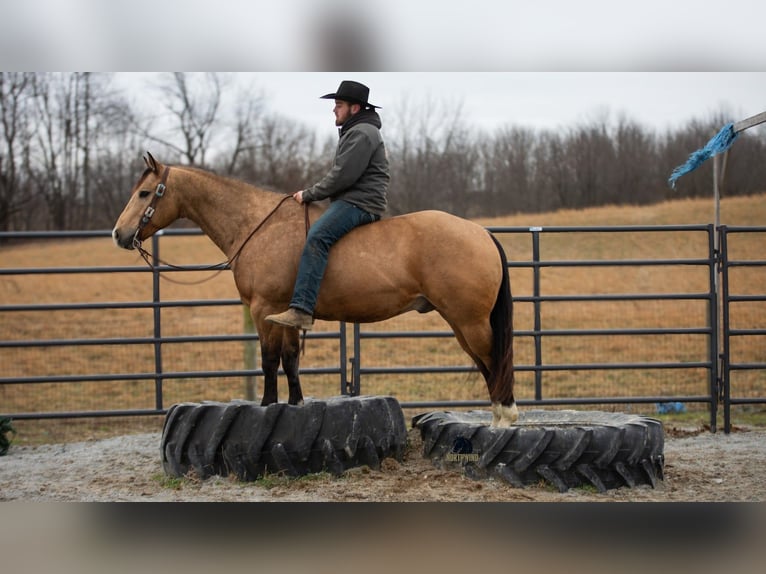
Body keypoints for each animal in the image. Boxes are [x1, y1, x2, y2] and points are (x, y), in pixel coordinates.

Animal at [112, 153, 518, 426]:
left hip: (470, 322)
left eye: (145, 193)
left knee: (493, 360)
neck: (259, 225)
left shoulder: (264, 310)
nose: (118, 234)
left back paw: (504, 420)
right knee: (485, 363)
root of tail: (481, 232)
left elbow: (269, 359)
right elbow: (291, 358)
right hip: (461, 323)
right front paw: (295, 403)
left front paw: (267, 405)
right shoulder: (288, 315)